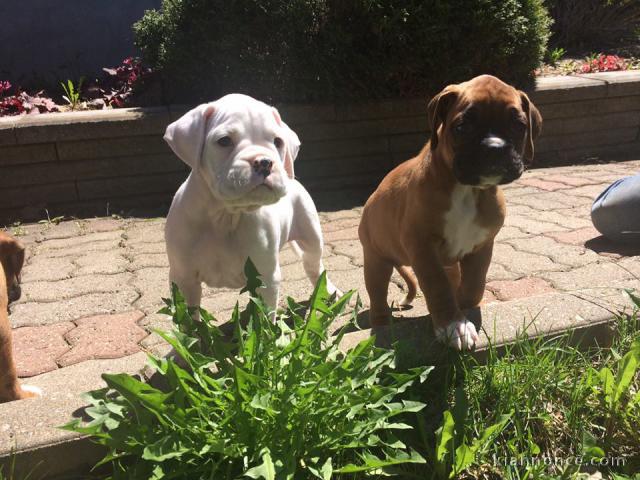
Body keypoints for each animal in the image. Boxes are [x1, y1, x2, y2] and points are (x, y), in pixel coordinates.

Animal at [164, 94, 340, 312]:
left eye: (277, 141)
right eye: (224, 141)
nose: (264, 162)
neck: (225, 215)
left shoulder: (265, 277)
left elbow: (264, 316)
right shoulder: (183, 279)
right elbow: (189, 317)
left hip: (311, 235)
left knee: (314, 265)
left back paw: (328, 292)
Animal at [358, 76, 544, 352]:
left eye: (519, 126)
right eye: (462, 127)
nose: (495, 147)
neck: (467, 190)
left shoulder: (481, 246)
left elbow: (474, 284)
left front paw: (465, 310)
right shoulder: (422, 247)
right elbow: (438, 288)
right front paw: (453, 325)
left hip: (449, 263)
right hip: (376, 261)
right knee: (378, 299)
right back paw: (381, 326)